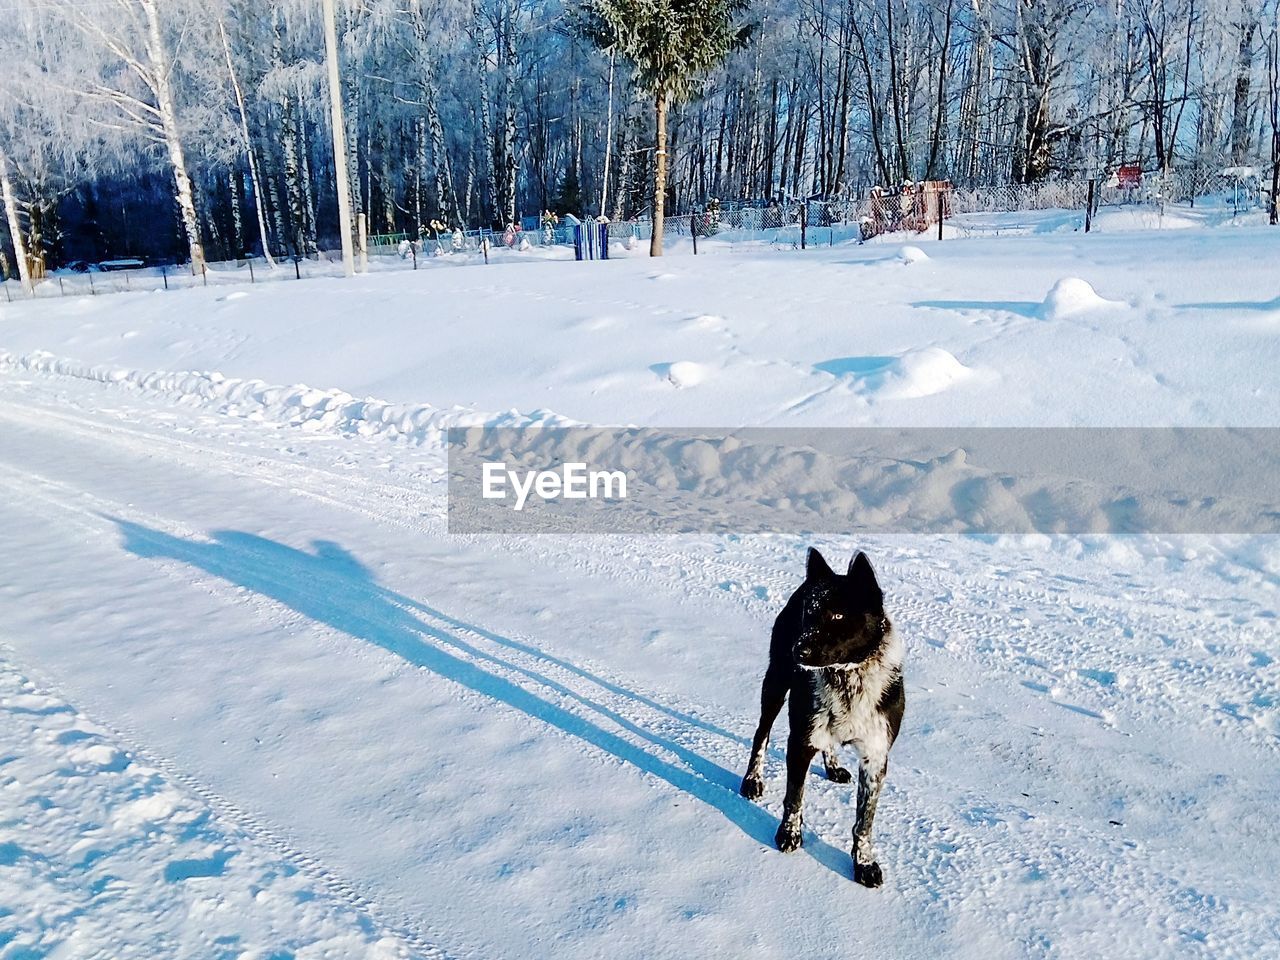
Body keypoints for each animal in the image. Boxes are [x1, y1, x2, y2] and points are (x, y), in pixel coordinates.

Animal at [737, 547, 906, 885]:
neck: (848, 677)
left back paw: (833, 765)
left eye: (838, 615)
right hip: (775, 685)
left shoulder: (876, 756)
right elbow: (794, 797)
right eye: (809, 612)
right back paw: (753, 779)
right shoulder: (800, 742)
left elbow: (864, 822)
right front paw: (788, 834)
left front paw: (864, 863)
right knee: (761, 734)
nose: (797, 650)